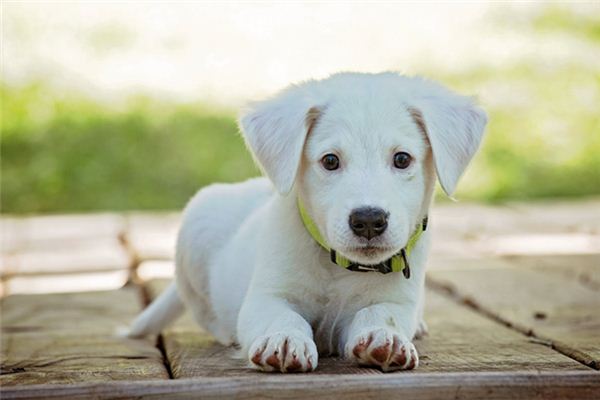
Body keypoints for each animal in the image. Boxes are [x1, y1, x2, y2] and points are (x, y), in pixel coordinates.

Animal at [127, 71, 488, 372]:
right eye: (330, 161)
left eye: (402, 159)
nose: (368, 220)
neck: (338, 267)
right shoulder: (267, 296)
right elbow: (282, 316)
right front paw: (284, 339)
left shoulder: (397, 300)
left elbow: (380, 313)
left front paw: (383, 337)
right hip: (197, 227)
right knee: (205, 313)